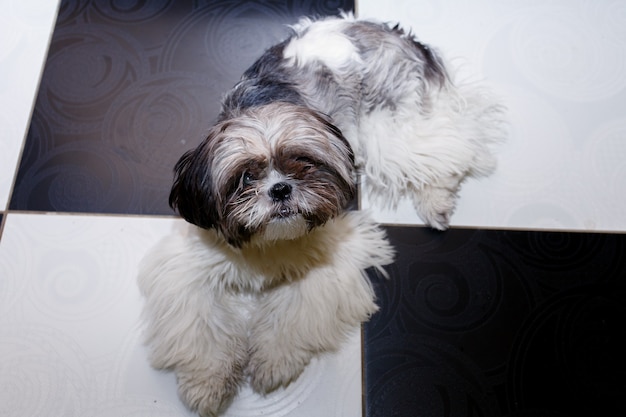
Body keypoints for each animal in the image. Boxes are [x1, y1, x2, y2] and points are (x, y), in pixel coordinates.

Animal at [136, 13, 502, 416]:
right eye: (245, 177)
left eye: (303, 162)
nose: (280, 189)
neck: (268, 244)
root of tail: (389, 31)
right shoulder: (188, 265)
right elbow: (203, 327)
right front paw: (208, 383)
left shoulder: (330, 262)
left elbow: (293, 312)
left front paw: (271, 361)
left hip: (387, 127)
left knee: (451, 144)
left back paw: (437, 199)